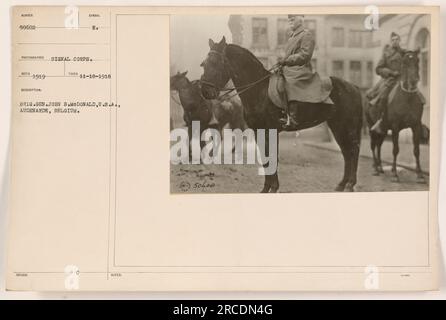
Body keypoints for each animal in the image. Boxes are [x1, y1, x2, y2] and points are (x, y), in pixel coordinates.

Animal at [200, 37, 364, 192]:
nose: (205, 91)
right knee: (346, 152)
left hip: (348, 126)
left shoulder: (270, 131)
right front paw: (266, 188)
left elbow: (272, 158)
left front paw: (273, 188)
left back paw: (350, 184)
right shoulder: (259, 131)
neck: (259, 90)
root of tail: (354, 87)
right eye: (204, 64)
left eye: (216, 63)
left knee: (354, 150)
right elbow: (265, 158)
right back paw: (342, 184)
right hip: (337, 126)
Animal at [368, 49, 426, 182]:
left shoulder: (416, 126)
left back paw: (380, 167)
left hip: (383, 130)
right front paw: (394, 174)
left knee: (379, 145)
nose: (414, 81)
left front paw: (420, 175)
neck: (408, 97)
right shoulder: (395, 127)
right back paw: (375, 168)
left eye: (417, 60)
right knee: (373, 145)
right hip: (371, 127)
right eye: (404, 63)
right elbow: (395, 149)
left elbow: (417, 150)